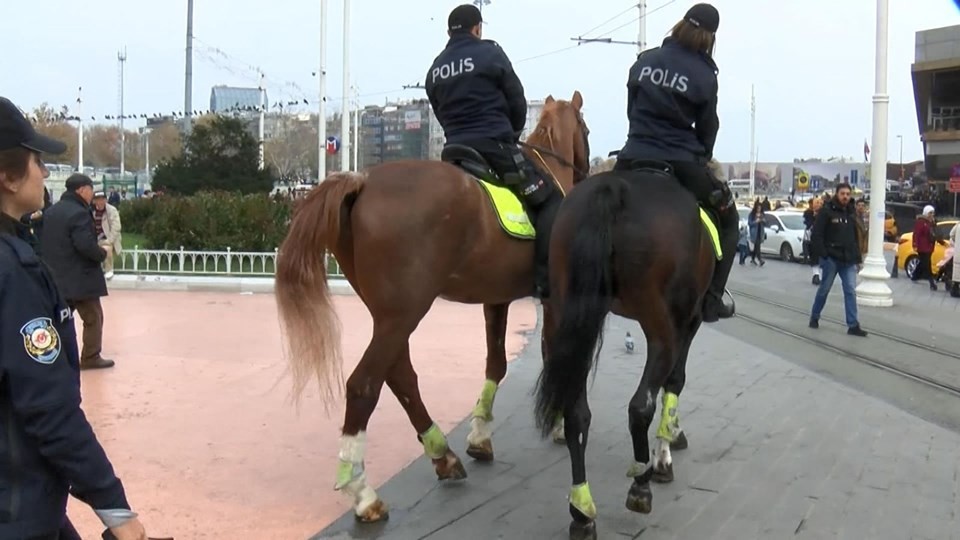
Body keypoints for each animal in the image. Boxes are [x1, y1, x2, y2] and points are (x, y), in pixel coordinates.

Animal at [274, 92, 588, 524]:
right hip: (404, 312)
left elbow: (496, 363)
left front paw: (480, 435)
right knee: (364, 385)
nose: (588, 171)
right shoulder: (553, 300)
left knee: (400, 376)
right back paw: (362, 491)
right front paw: (557, 422)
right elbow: (551, 356)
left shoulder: (496, 298)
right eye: (585, 129)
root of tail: (363, 181)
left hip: (391, 314)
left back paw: (442, 452)